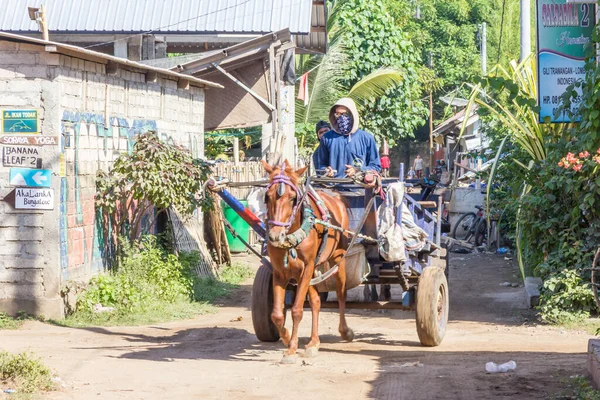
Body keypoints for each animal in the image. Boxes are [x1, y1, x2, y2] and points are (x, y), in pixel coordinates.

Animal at [260, 159, 354, 362]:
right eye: (267, 197)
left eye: (292, 198)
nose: (275, 236)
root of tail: (335, 196)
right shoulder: (279, 272)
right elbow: (277, 314)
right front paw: (286, 337)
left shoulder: (306, 269)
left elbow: (296, 310)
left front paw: (291, 349)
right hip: (312, 270)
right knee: (316, 302)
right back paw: (313, 343)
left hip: (337, 258)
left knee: (341, 294)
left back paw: (344, 331)